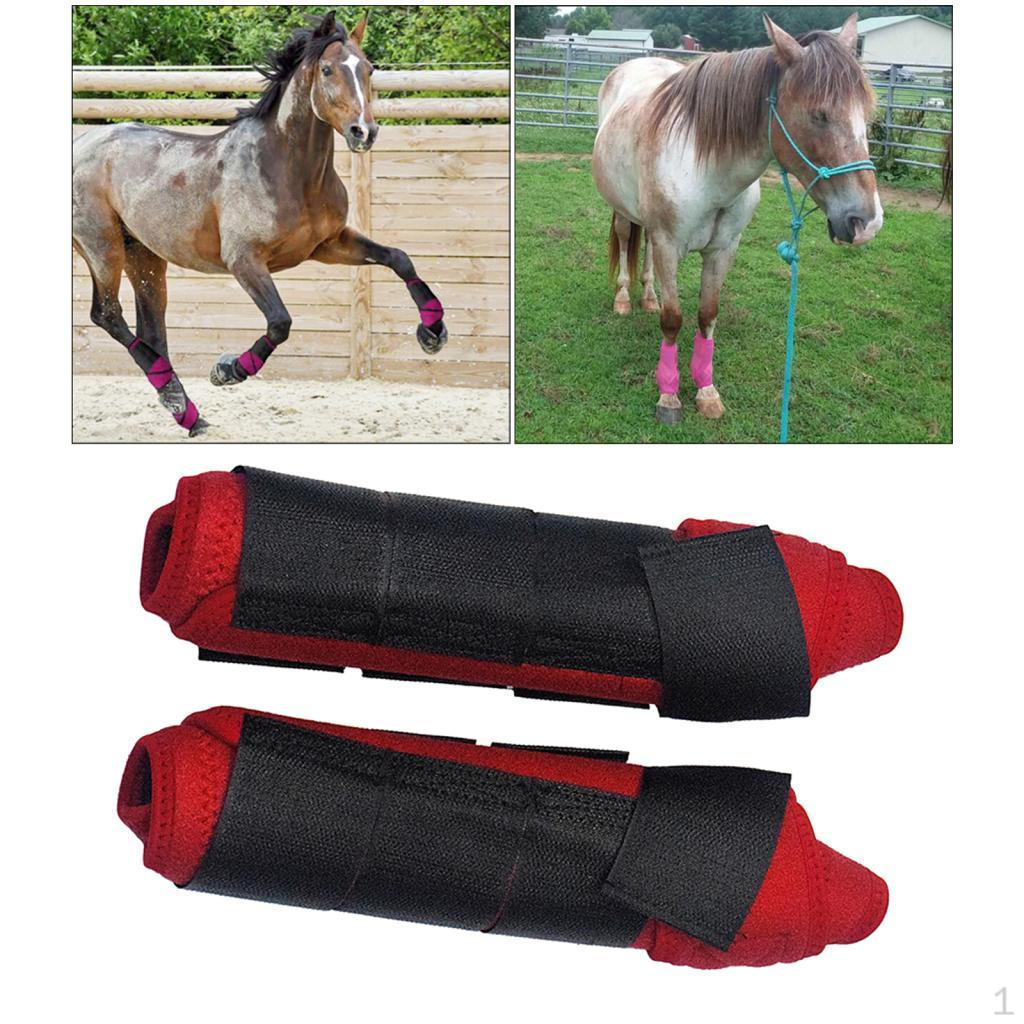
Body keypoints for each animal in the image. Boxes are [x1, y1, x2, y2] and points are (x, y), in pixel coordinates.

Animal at [72, 11, 448, 436]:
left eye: (369, 69)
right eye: (328, 69)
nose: (363, 133)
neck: (288, 171)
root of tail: (80, 144)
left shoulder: (330, 244)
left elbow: (399, 258)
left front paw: (433, 334)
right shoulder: (245, 261)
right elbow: (280, 322)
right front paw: (227, 370)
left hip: (145, 254)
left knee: (150, 327)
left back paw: (185, 410)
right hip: (103, 247)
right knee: (106, 314)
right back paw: (182, 402)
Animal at [592, 14, 882, 426]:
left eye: (866, 114)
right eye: (819, 114)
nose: (866, 223)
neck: (706, 169)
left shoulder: (723, 249)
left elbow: (707, 314)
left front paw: (706, 391)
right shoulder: (669, 244)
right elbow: (673, 319)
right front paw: (669, 396)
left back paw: (647, 297)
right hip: (621, 209)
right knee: (623, 237)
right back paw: (623, 299)